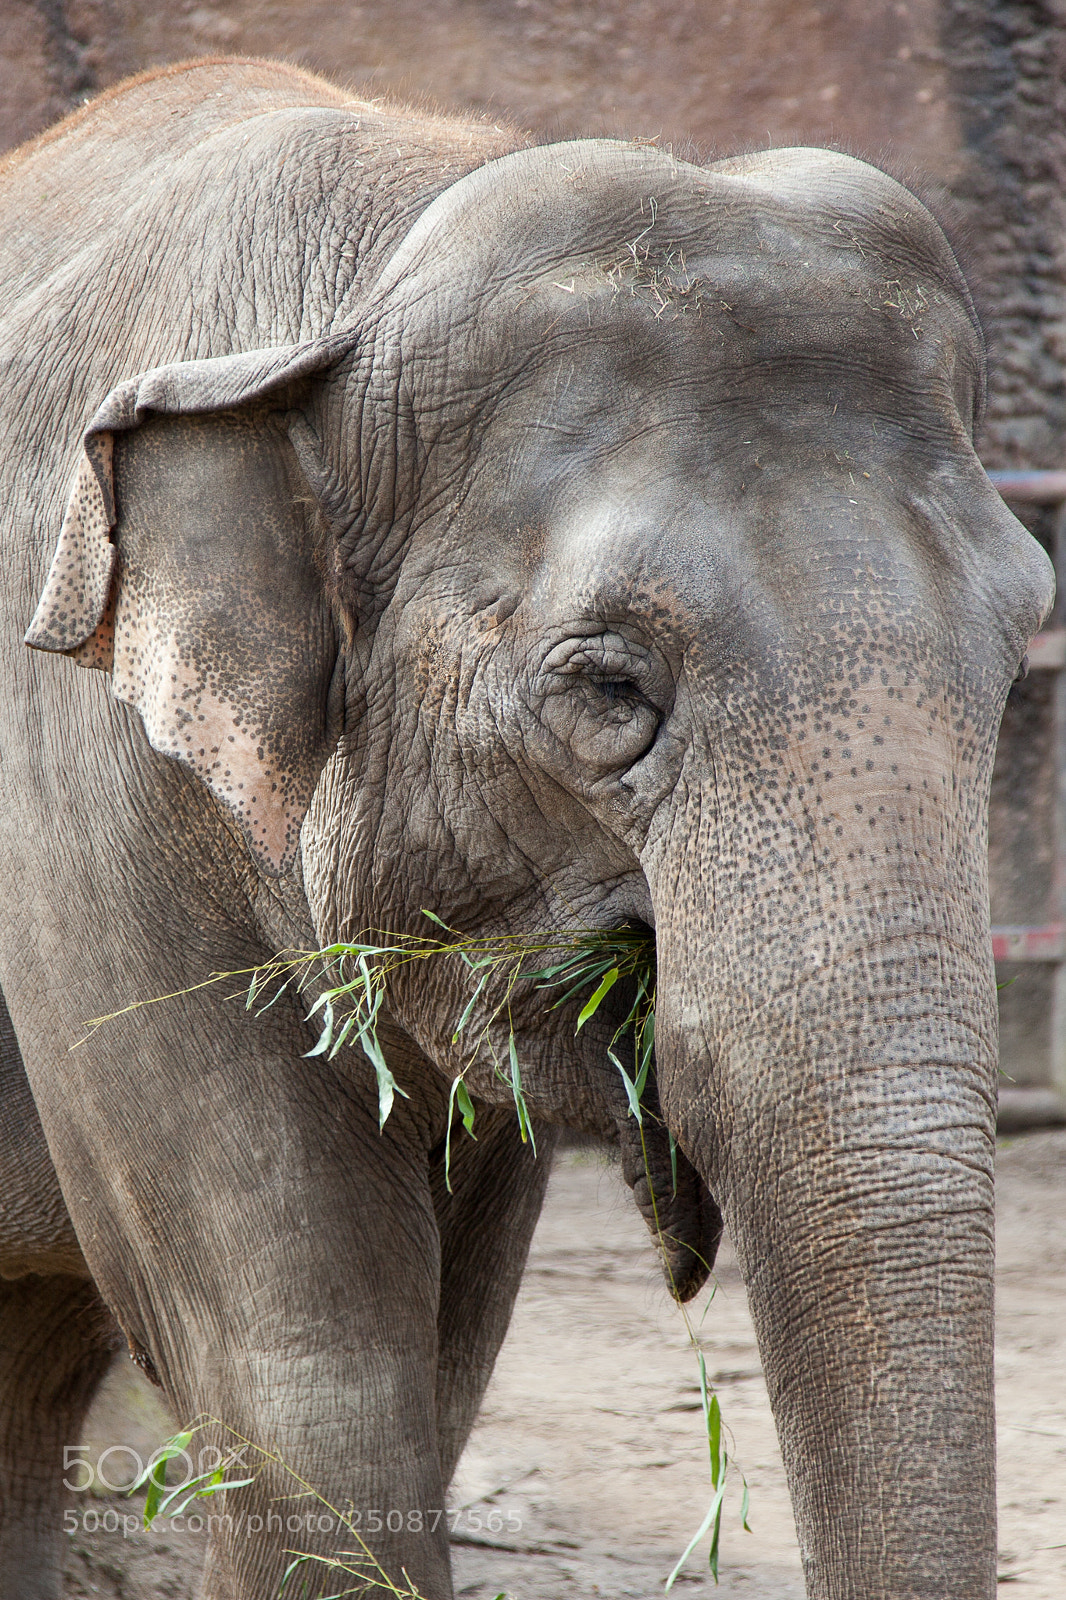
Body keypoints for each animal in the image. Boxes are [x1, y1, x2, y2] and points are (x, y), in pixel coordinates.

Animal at [0, 54, 1052, 1600]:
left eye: (1015, 651)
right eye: (608, 685)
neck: (372, 261)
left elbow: (444, 1354)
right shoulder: (77, 803)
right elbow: (310, 1394)